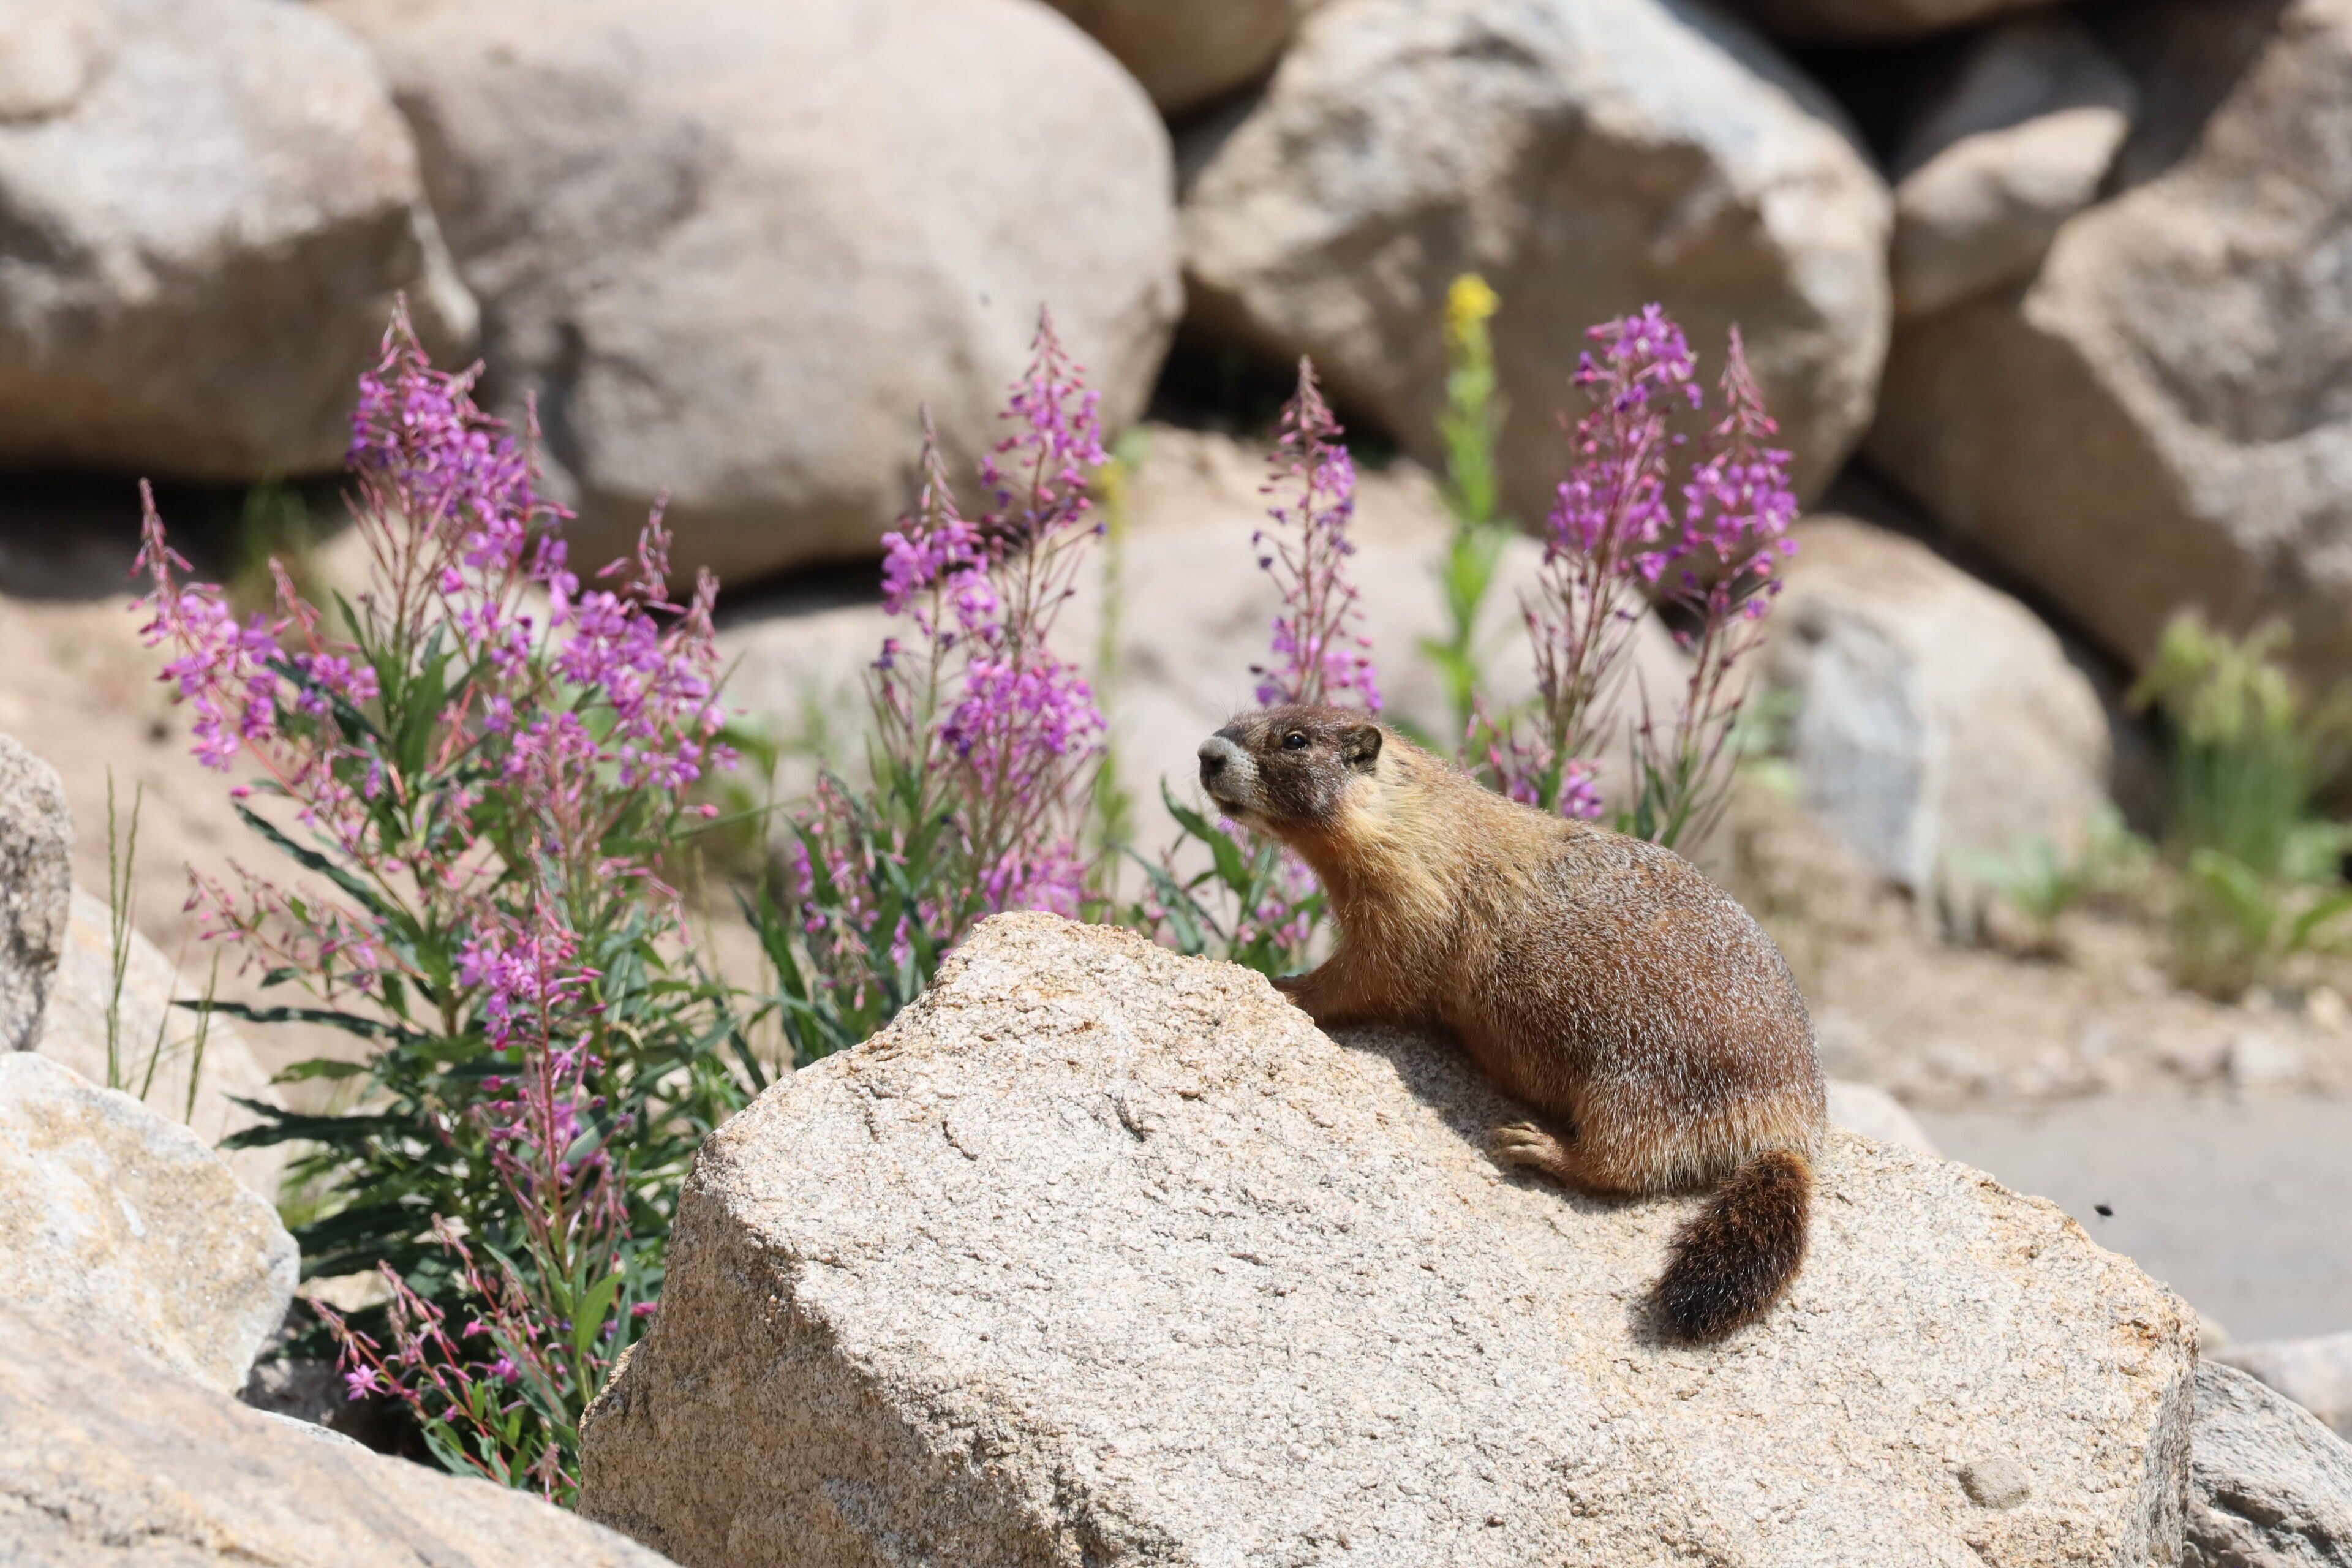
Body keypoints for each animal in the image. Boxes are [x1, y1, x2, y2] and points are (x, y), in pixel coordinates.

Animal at [1196, 703, 1826, 1342]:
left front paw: (1288, 987)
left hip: (1647, 1082)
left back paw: (1540, 1145)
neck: (1407, 815)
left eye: (1295, 741)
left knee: (1627, 1160)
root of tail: (1795, 1128)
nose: (1207, 753)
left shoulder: (1410, 891)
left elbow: (1377, 968)